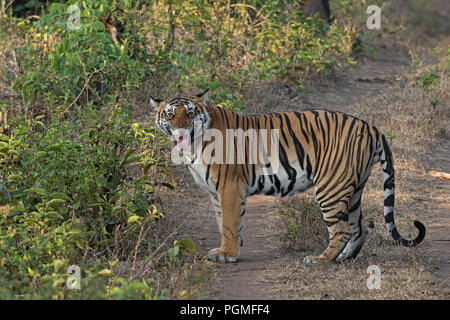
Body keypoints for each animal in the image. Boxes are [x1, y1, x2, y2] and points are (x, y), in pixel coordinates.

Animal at [150, 89, 426, 264]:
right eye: (170, 114)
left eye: (190, 113)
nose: (181, 131)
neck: (195, 144)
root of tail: (371, 126)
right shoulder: (216, 192)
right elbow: (223, 222)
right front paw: (229, 248)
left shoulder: (229, 187)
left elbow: (228, 222)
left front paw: (227, 254)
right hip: (354, 186)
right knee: (359, 228)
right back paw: (343, 259)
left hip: (331, 186)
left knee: (342, 229)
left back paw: (320, 259)